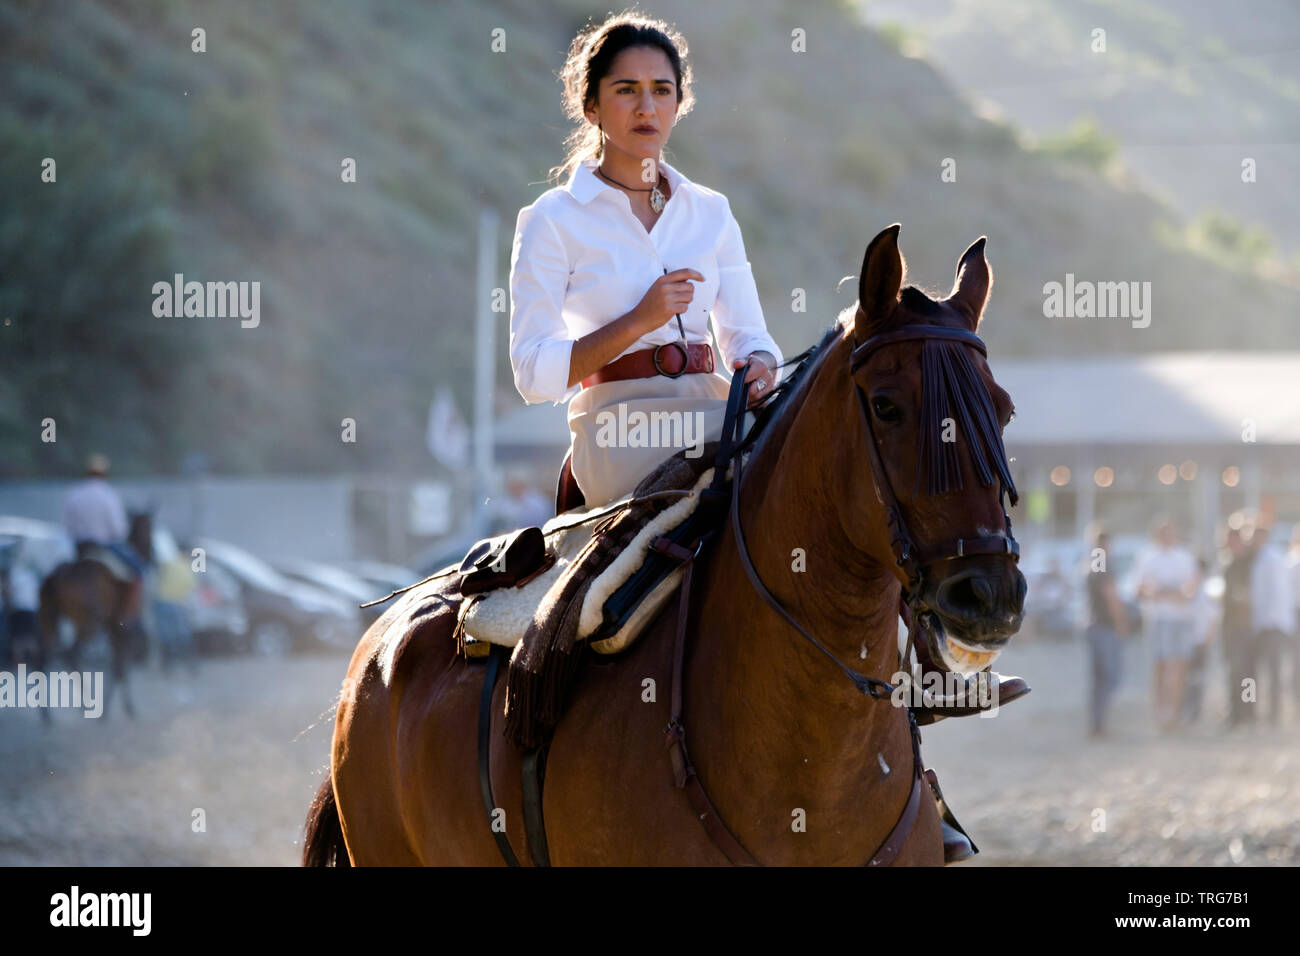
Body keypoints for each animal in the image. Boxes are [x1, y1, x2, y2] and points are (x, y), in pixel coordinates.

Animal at [36, 509, 154, 719]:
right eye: (150, 526)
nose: (153, 555)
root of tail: (59, 575)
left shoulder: (113, 627)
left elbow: (117, 665)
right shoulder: (124, 627)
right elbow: (119, 666)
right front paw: (123, 708)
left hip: (49, 618)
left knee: (45, 655)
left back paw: (47, 714)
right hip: (89, 623)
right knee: (71, 653)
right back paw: (87, 703)